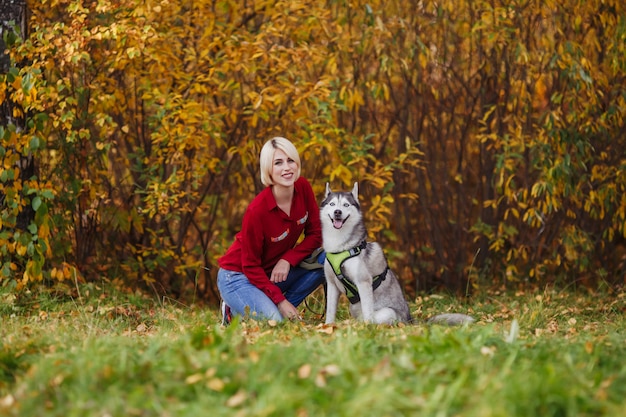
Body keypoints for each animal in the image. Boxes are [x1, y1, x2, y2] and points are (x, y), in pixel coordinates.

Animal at [320, 182, 470, 324]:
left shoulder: (363, 282)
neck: (340, 248)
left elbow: (367, 310)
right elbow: (330, 311)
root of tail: (410, 320)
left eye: (346, 204)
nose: (337, 212)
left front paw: (366, 327)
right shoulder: (331, 285)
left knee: (376, 318)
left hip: (388, 312)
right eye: (332, 204)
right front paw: (327, 326)